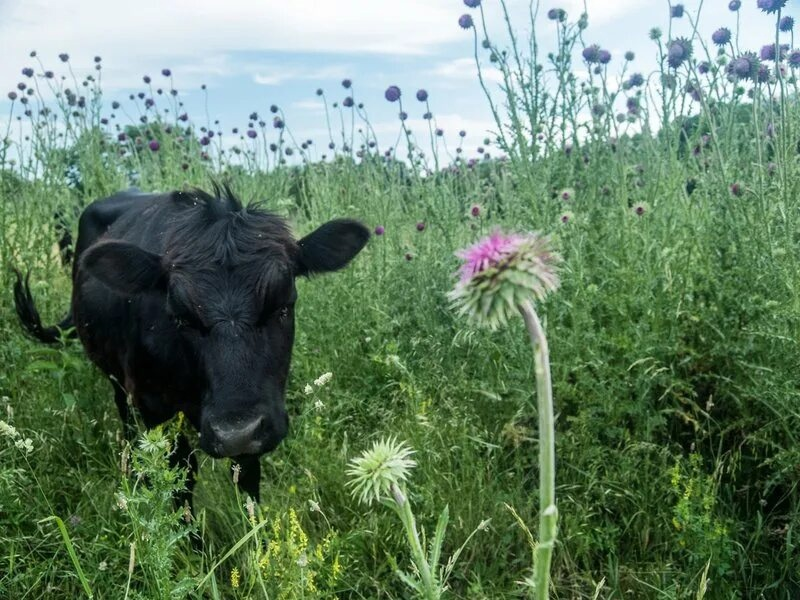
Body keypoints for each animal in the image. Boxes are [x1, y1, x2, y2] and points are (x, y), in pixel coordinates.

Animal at [13, 184, 368, 506]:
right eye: (180, 317)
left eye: (283, 306)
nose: (235, 433)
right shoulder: (151, 404)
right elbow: (180, 474)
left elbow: (246, 475)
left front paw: (257, 532)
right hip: (118, 380)